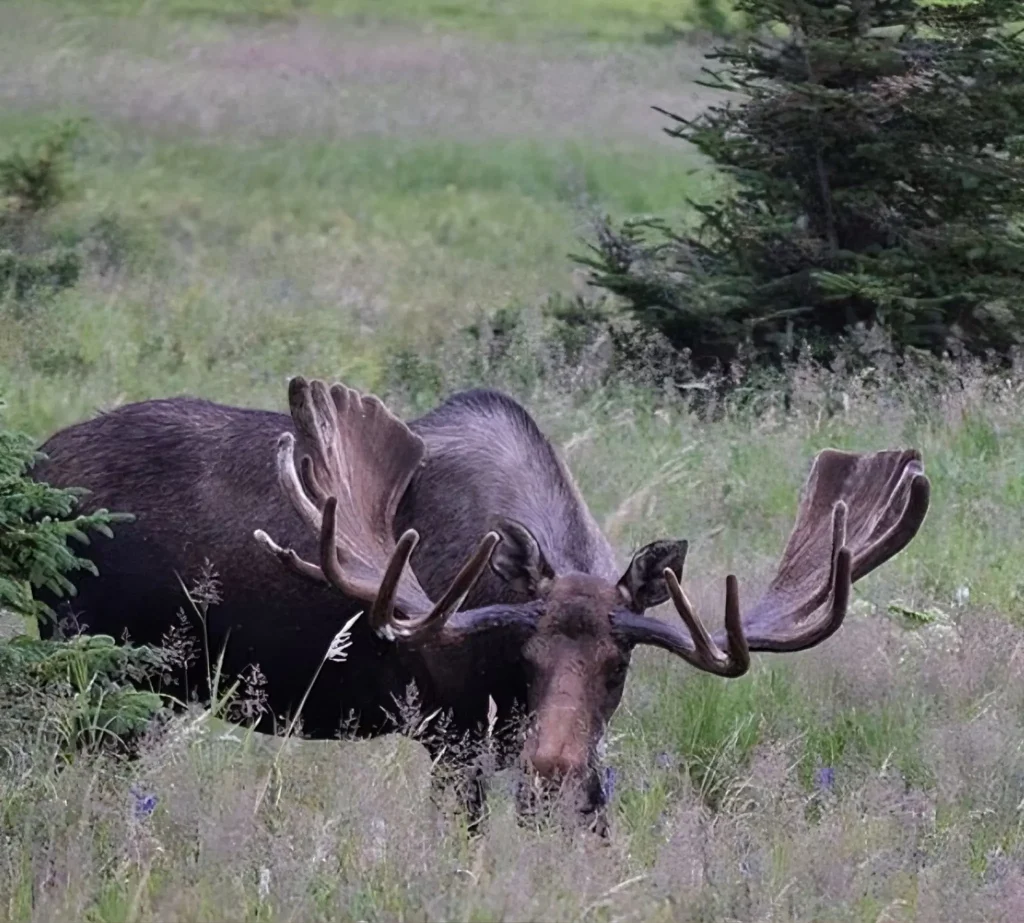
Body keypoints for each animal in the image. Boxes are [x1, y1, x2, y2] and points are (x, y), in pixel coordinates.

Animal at [33, 376, 930, 832]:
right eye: (526, 657)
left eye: (619, 665)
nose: (550, 769)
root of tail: (38, 462)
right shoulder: (450, 731)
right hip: (95, 668)